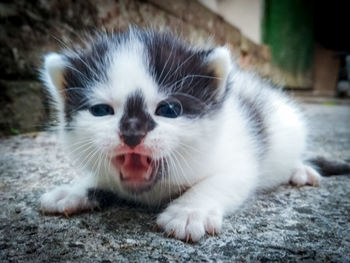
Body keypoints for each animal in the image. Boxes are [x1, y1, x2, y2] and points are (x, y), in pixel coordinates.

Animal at [40, 27, 322, 242]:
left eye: (169, 110)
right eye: (101, 110)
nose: (132, 132)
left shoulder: (238, 153)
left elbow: (222, 180)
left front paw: (189, 211)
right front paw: (74, 189)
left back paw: (301, 169)